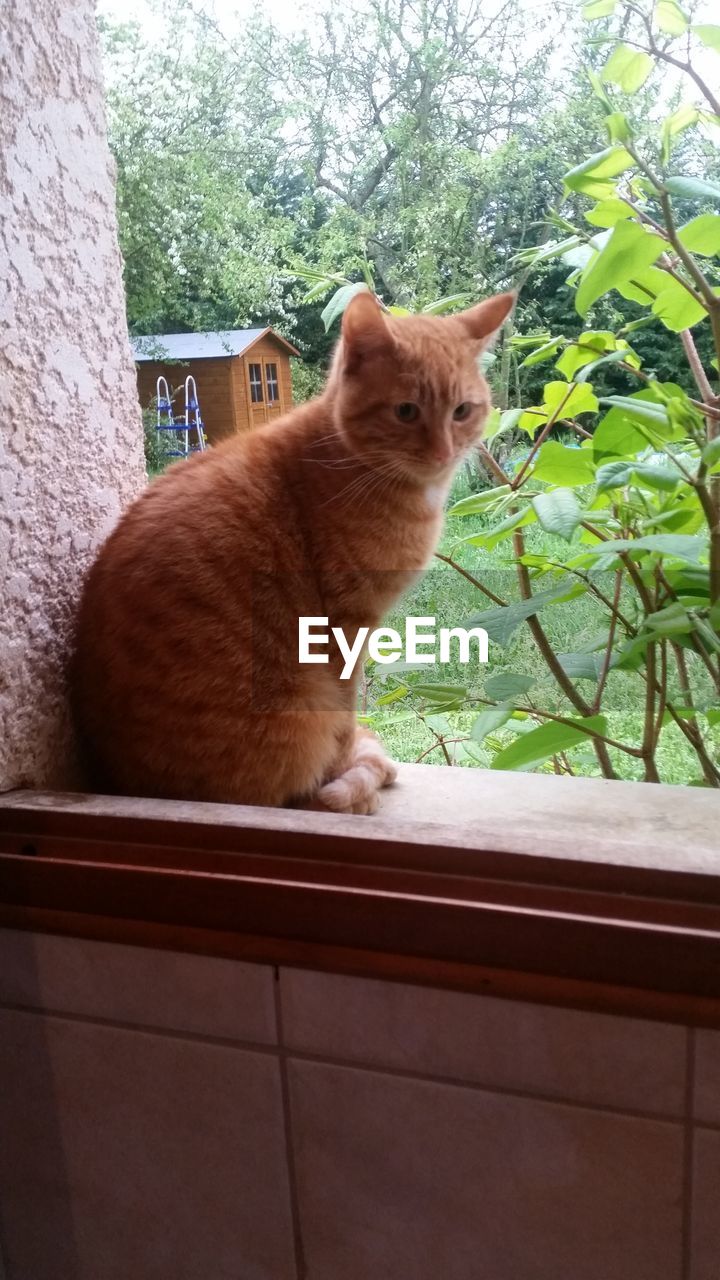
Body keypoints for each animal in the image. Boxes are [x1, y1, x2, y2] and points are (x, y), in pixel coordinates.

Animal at [71, 289, 509, 808]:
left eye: (462, 411)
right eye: (406, 412)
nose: (444, 453)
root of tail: (122, 780)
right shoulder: (345, 627)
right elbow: (344, 715)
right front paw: (344, 768)